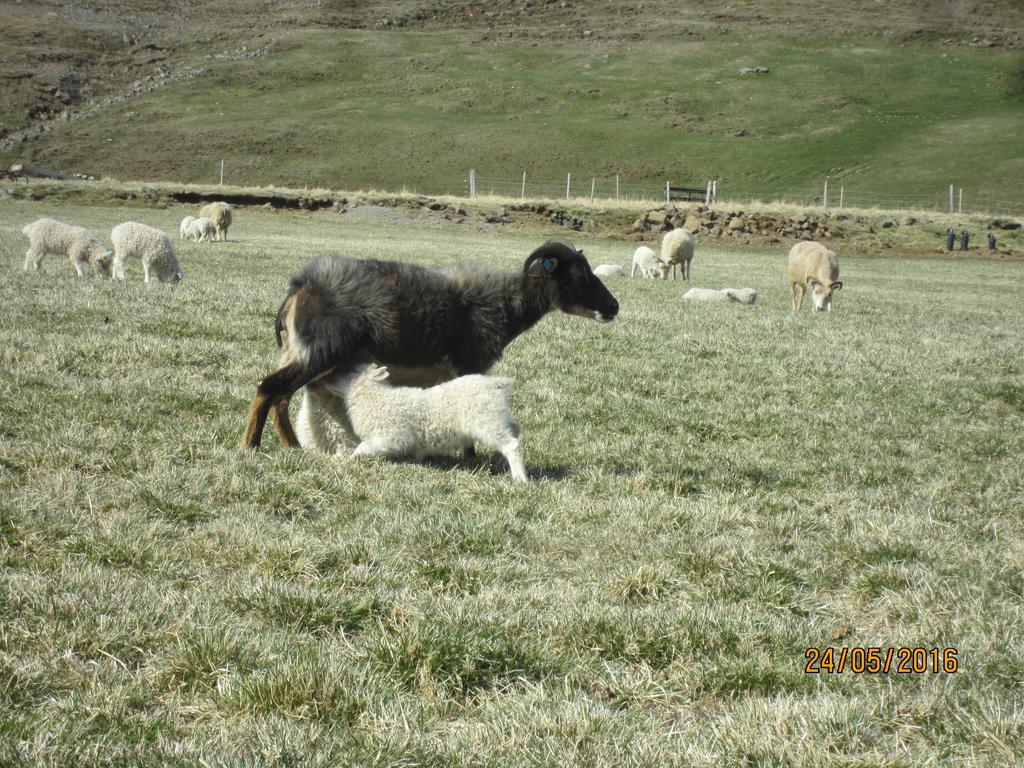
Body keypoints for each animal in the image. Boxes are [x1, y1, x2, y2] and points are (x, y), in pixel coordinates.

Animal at [243, 240, 618, 450]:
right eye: (580, 277)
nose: (614, 307)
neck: (510, 303)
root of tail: (300, 286)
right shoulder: (469, 364)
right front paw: (471, 456)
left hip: (305, 353)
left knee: (281, 397)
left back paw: (292, 447)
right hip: (321, 351)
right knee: (269, 388)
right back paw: (251, 446)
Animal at [319, 364, 528, 481]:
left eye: (352, 370)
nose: (325, 378)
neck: (374, 398)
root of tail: (493, 384)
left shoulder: (389, 438)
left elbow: (363, 448)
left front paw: (348, 460)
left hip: (487, 422)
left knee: (512, 445)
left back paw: (520, 479)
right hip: (498, 417)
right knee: (515, 430)